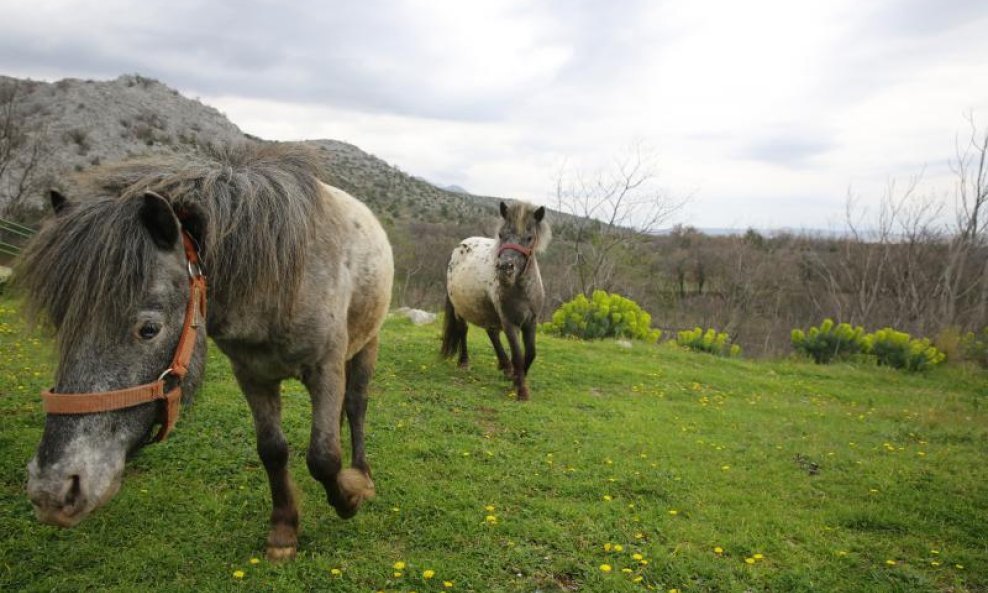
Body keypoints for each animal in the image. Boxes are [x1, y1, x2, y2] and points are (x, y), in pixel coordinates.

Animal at [14, 143, 394, 560]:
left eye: (149, 329)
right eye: (60, 320)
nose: (52, 491)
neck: (283, 279)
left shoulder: (325, 368)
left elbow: (324, 458)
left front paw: (348, 499)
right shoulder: (252, 375)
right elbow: (273, 451)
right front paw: (283, 530)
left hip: (367, 346)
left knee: (356, 406)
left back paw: (363, 476)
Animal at [440, 201, 548, 400]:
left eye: (529, 238)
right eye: (501, 235)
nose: (505, 267)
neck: (520, 290)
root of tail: (460, 246)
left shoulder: (531, 322)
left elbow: (530, 354)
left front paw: (516, 379)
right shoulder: (510, 323)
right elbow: (518, 355)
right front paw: (521, 390)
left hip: (487, 309)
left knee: (492, 333)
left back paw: (505, 367)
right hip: (461, 309)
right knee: (463, 330)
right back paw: (464, 362)